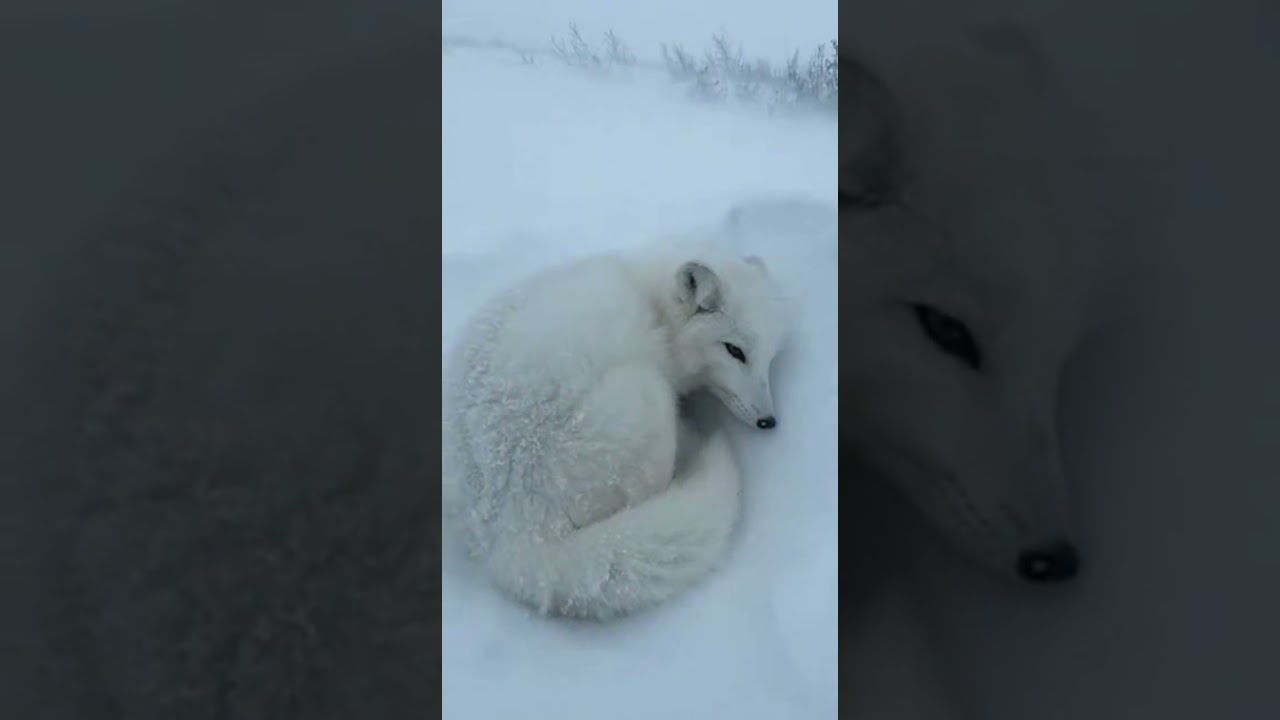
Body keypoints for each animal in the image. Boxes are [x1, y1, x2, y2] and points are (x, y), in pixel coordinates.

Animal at [441, 237, 787, 620]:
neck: (655, 308)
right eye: (734, 350)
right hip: (647, 394)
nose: (769, 422)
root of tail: (507, 531)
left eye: (770, 356)